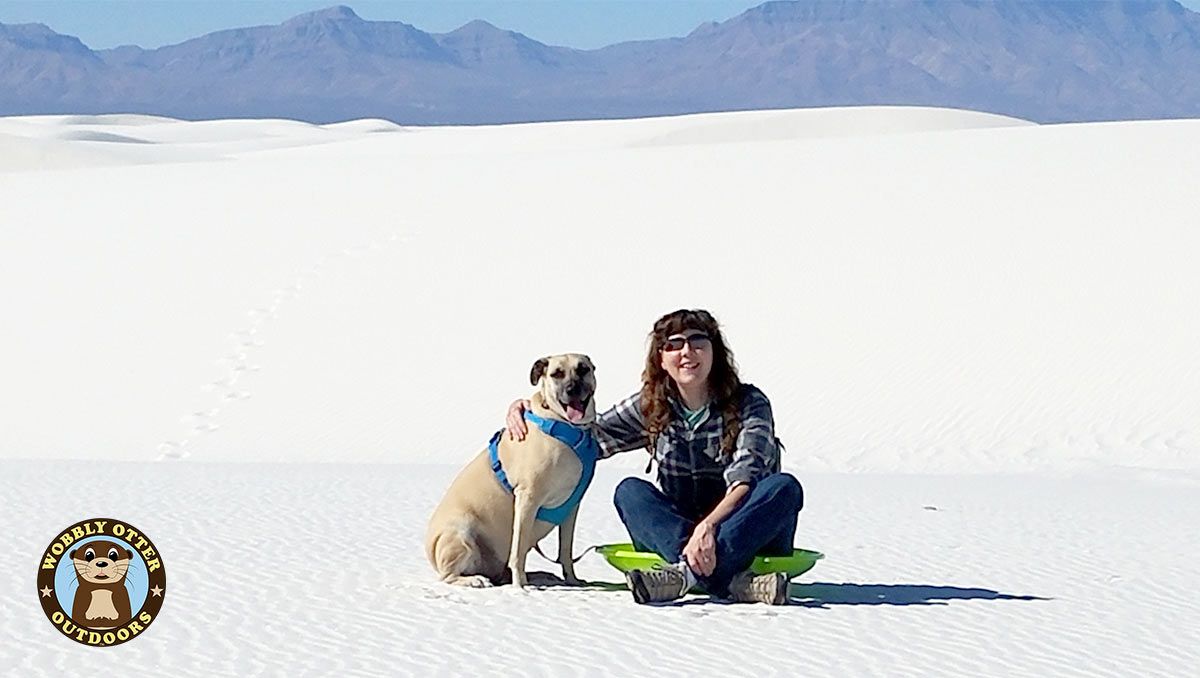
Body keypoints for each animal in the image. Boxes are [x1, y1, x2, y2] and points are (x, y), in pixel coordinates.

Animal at [429, 355, 600, 588]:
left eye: (583, 369)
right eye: (556, 374)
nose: (572, 389)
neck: (566, 425)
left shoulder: (572, 507)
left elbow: (565, 550)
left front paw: (572, 580)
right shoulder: (527, 498)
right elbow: (518, 551)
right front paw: (521, 587)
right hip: (460, 532)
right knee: (448, 576)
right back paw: (475, 580)